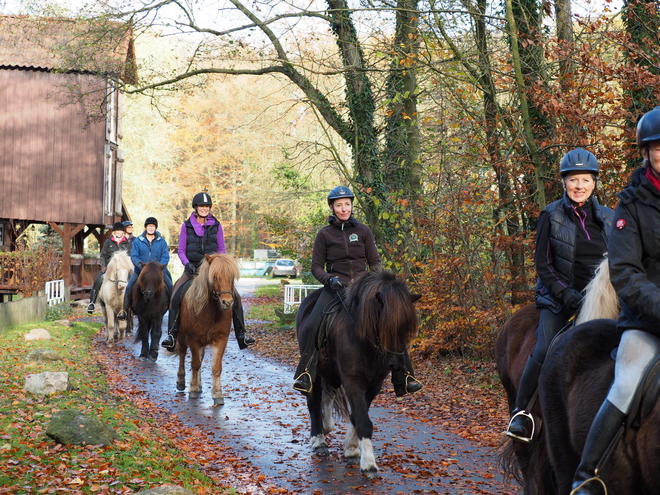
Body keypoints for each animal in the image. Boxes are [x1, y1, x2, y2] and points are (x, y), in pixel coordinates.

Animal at [174, 254, 238, 404]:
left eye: (232, 276)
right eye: (214, 277)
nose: (227, 302)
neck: (211, 312)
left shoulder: (220, 340)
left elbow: (216, 367)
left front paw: (217, 394)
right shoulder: (194, 339)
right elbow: (195, 364)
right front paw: (192, 389)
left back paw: (199, 385)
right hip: (181, 336)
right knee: (182, 354)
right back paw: (181, 382)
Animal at [296, 270, 420, 478]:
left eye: (405, 327)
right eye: (384, 324)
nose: (396, 364)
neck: (364, 340)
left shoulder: (374, 384)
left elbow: (357, 417)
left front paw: (352, 449)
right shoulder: (353, 381)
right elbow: (363, 421)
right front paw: (369, 464)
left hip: (330, 372)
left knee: (328, 396)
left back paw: (327, 424)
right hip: (315, 372)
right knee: (313, 402)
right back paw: (319, 440)